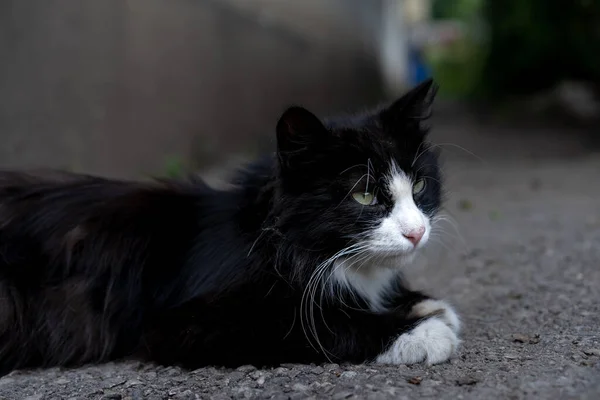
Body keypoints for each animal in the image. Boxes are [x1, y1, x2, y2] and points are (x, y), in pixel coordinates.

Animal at [0, 79, 460, 376]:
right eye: (364, 196)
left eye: (419, 185)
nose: (416, 232)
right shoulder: (184, 324)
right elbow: (318, 326)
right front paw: (423, 332)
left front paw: (424, 304)